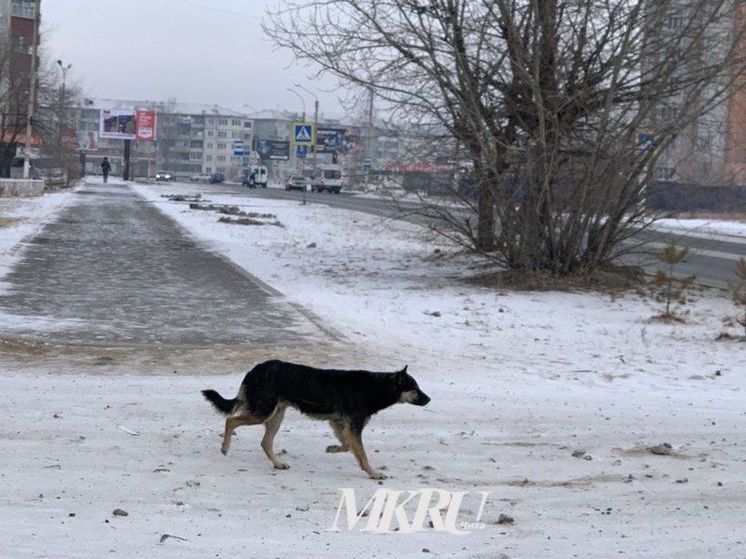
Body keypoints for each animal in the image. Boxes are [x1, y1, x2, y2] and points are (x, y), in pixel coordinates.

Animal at [201, 360, 430, 480]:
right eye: (414, 388)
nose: (428, 399)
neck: (376, 387)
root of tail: (254, 369)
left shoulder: (340, 424)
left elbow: (348, 446)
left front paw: (332, 448)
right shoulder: (353, 426)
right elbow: (362, 455)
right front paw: (373, 473)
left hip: (276, 415)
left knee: (265, 442)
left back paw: (278, 463)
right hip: (263, 412)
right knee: (231, 420)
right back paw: (225, 447)